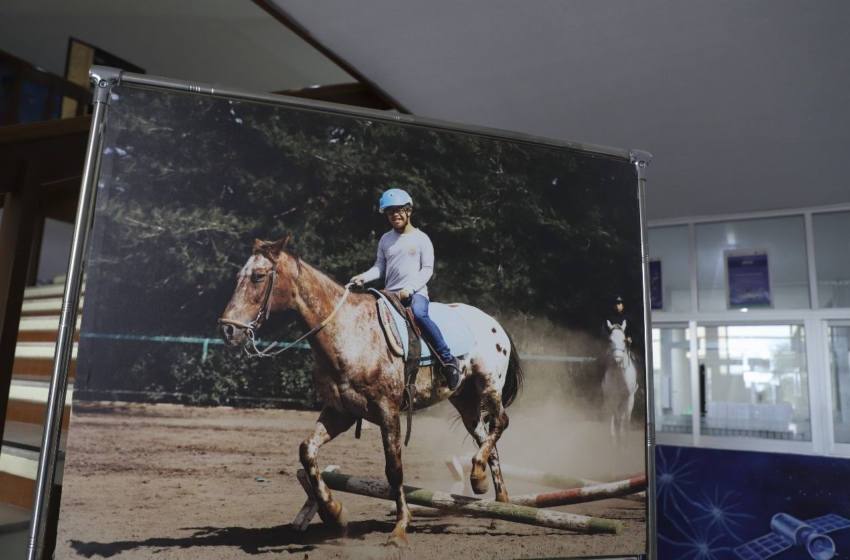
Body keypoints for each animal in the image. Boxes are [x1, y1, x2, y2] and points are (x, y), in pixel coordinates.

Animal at [217, 236, 524, 548]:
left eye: (258, 276)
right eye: (239, 276)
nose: (228, 330)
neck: (348, 334)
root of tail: (495, 324)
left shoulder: (388, 411)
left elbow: (394, 469)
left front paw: (400, 528)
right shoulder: (340, 413)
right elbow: (307, 452)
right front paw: (334, 512)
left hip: (488, 386)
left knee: (501, 422)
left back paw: (483, 482)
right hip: (465, 400)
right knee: (488, 442)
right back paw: (493, 500)